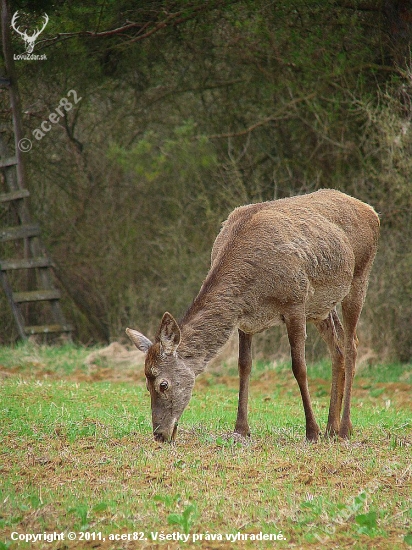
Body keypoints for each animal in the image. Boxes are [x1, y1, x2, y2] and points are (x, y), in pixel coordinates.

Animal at [126, 190, 380, 444]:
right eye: (146, 385)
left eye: (163, 384)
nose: (159, 434)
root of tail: (372, 212)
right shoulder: (244, 320)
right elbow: (244, 365)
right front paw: (241, 428)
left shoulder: (295, 303)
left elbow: (299, 367)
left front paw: (311, 431)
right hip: (321, 306)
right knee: (337, 347)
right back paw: (332, 428)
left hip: (359, 277)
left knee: (351, 345)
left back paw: (343, 428)